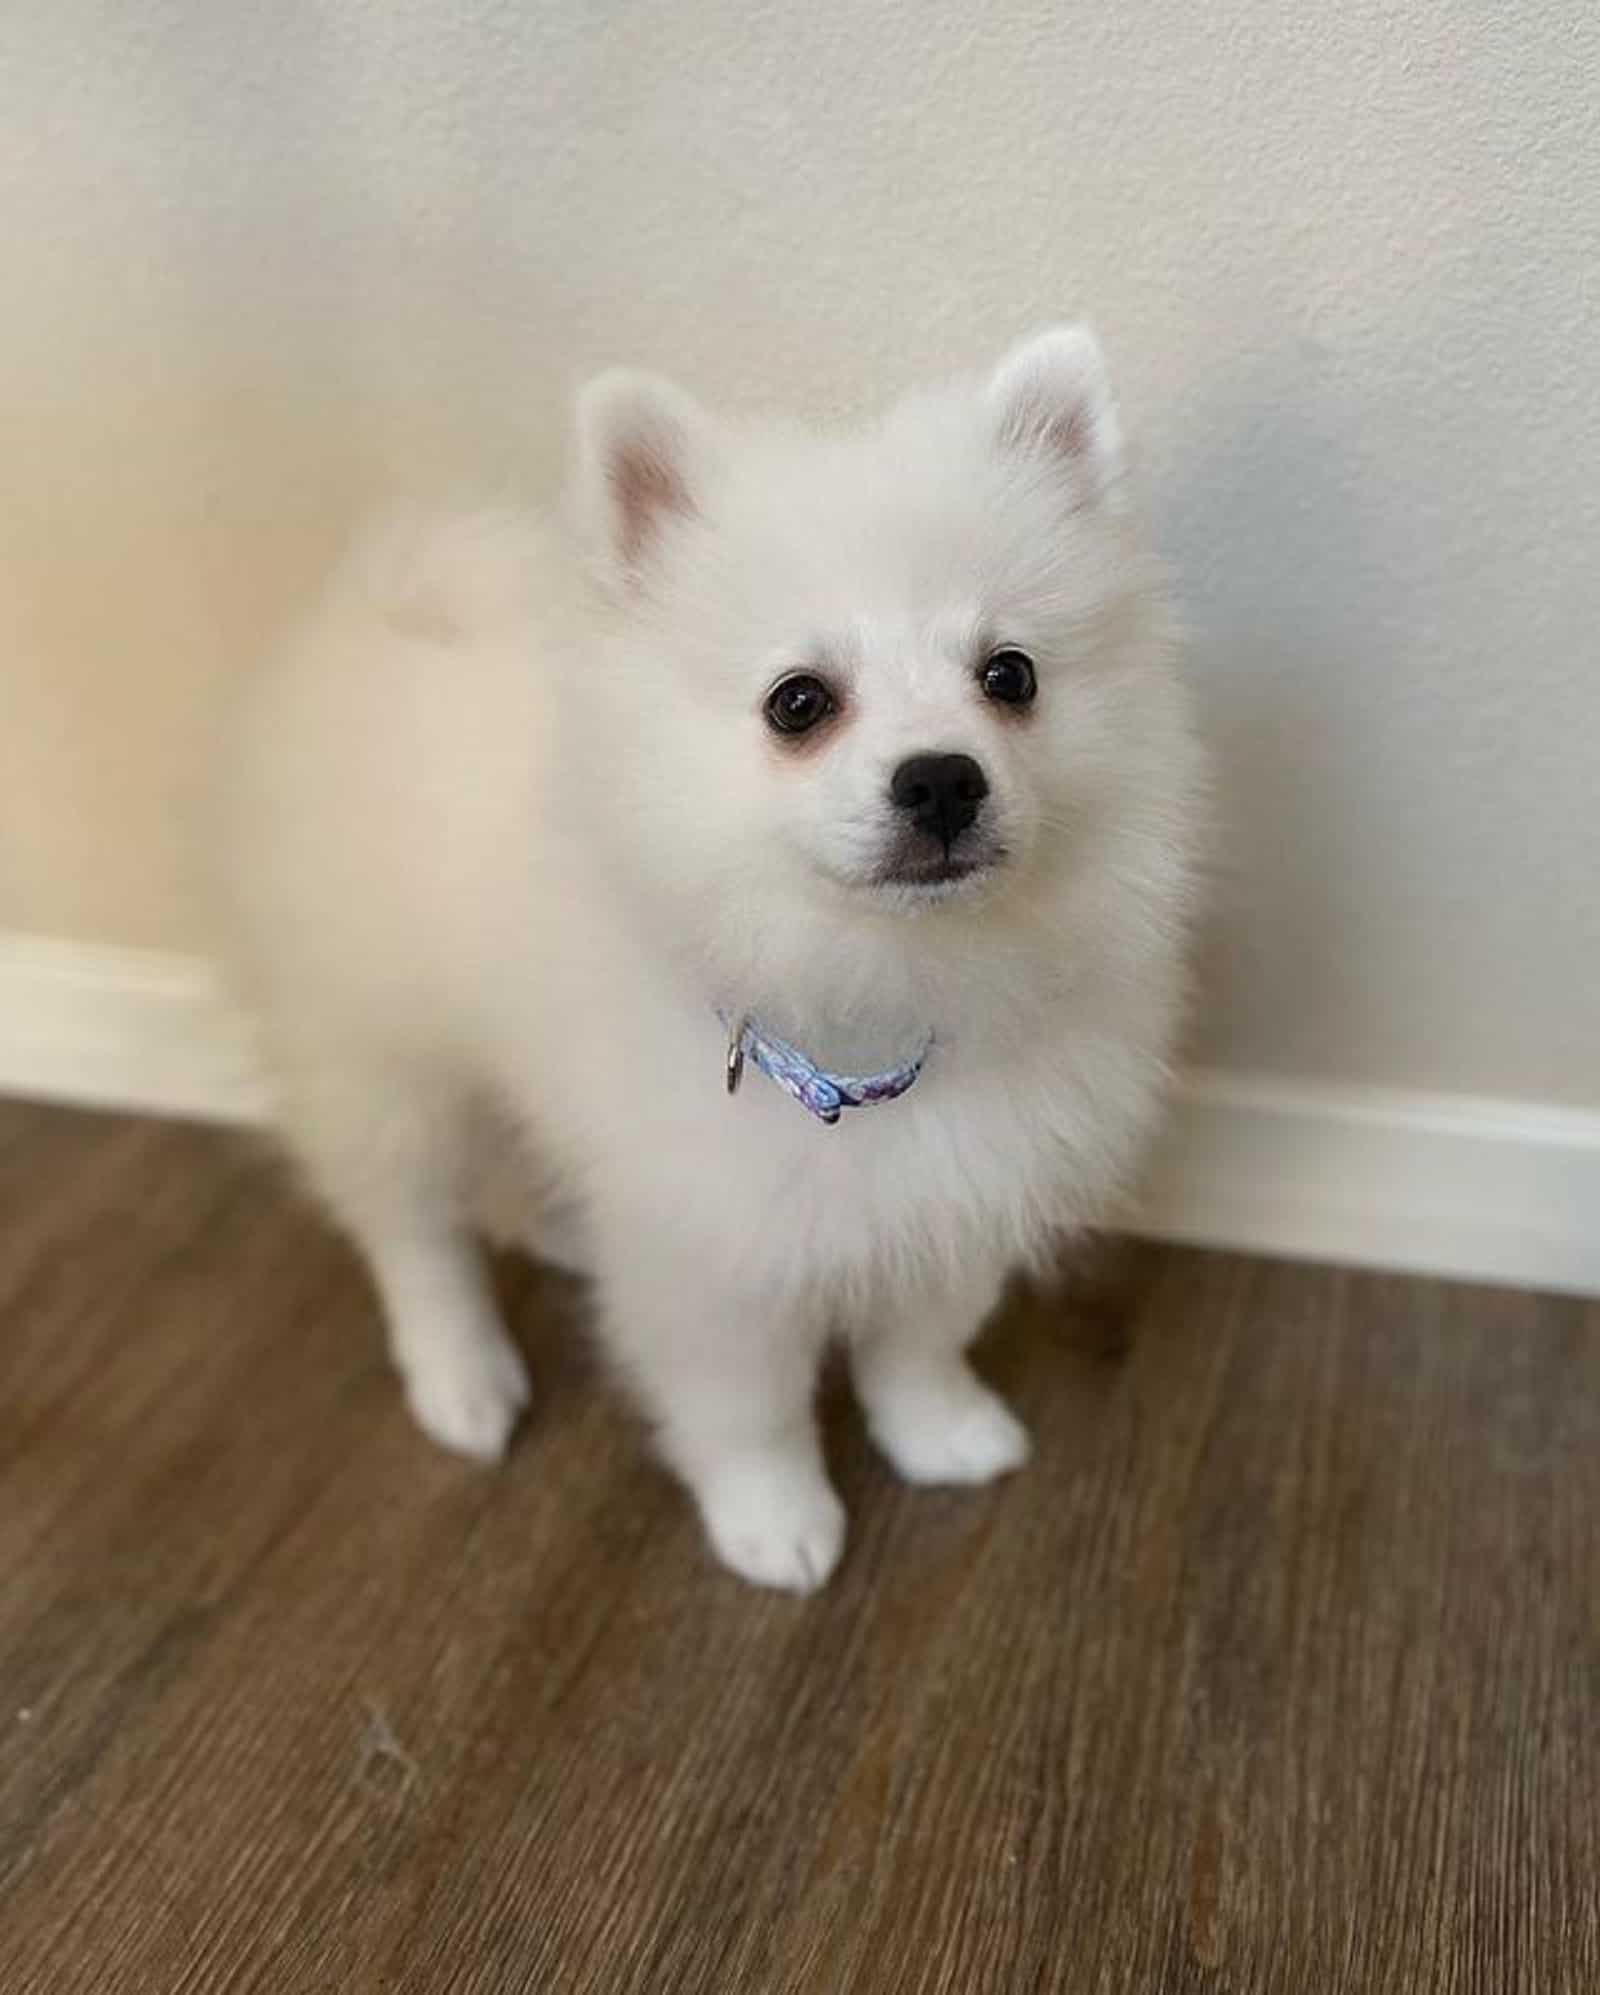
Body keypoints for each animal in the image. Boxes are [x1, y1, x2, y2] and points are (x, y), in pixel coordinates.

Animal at [218, 335, 1204, 1596]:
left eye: (1011, 676)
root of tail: (383, 605)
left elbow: (918, 1343)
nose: (941, 778)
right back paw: (461, 1376)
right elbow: (751, 1410)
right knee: (412, 1229)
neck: (862, 1000)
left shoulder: (954, 1191)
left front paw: (937, 1433)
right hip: (383, 1059)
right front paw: (774, 1520)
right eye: (799, 703)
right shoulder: (717, 1254)